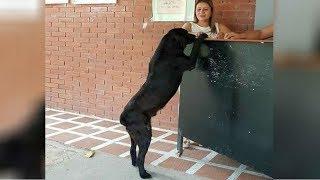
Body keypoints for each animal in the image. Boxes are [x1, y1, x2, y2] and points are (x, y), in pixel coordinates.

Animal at [120, 28, 208, 179]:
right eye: (186, 33)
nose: (192, 34)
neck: (167, 48)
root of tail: (124, 117)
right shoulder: (189, 62)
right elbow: (195, 48)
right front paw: (201, 36)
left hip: (134, 136)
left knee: (132, 149)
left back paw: (135, 165)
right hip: (145, 135)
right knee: (141, 156)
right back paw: (143, 173)